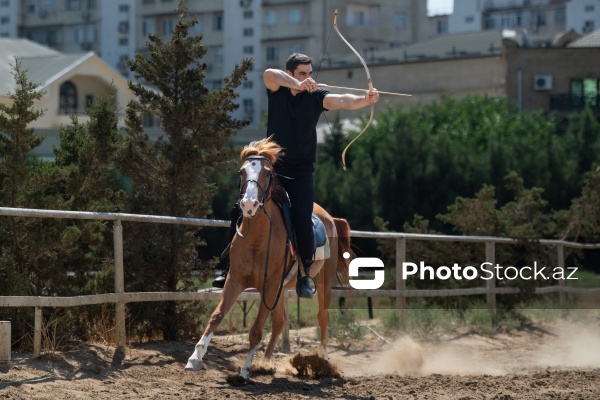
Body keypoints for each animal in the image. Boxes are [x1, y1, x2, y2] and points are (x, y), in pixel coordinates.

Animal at [184, 138, 352, 382]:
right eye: (242, 171)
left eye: (267, 172)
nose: (249, 205)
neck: (258, 238)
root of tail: (330, 218)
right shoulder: (236, 280)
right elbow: (216, 316)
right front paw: (195, 358)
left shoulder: (269, 286)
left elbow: (255, 330)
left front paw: (244, 371)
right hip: (282, 289)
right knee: (280, 323)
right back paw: (264, 363)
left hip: (323, 282)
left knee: (323, 317)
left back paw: (321, 361)